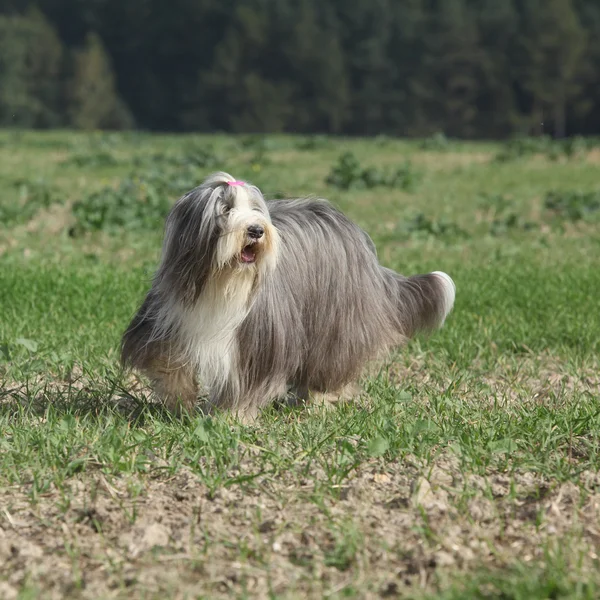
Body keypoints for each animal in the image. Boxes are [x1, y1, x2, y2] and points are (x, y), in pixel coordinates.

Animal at [122, 171, 454, 414]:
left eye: (256, 210)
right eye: (225, 209)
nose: (256, 230)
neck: (221, 282)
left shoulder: (259, 340)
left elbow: (247, 382)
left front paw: (231, 416)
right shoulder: (169, 316)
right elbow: (168, 361)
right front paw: (180, 402)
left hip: (336, 318)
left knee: (333, 358)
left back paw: (322, 396)